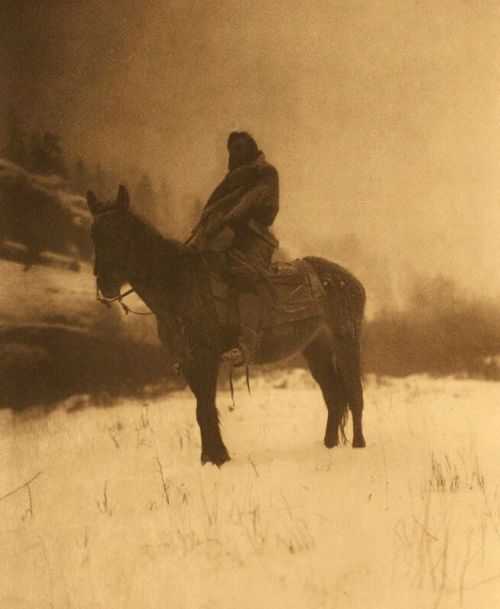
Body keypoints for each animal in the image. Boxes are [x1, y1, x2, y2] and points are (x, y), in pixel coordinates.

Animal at [87, 185, 368, 466]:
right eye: (94, 234)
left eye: (119, 231)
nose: (106, 283)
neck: (181, 286)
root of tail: (351, 281)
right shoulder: (188, 362)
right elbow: (203, 409)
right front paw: (210, 457)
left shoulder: (206, 358)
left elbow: (206, 408)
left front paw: (217, 458)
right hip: (316, 349)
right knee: (334, 395)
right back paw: (329, 445)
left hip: (347, 341)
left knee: (354, 393)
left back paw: (358, 445)